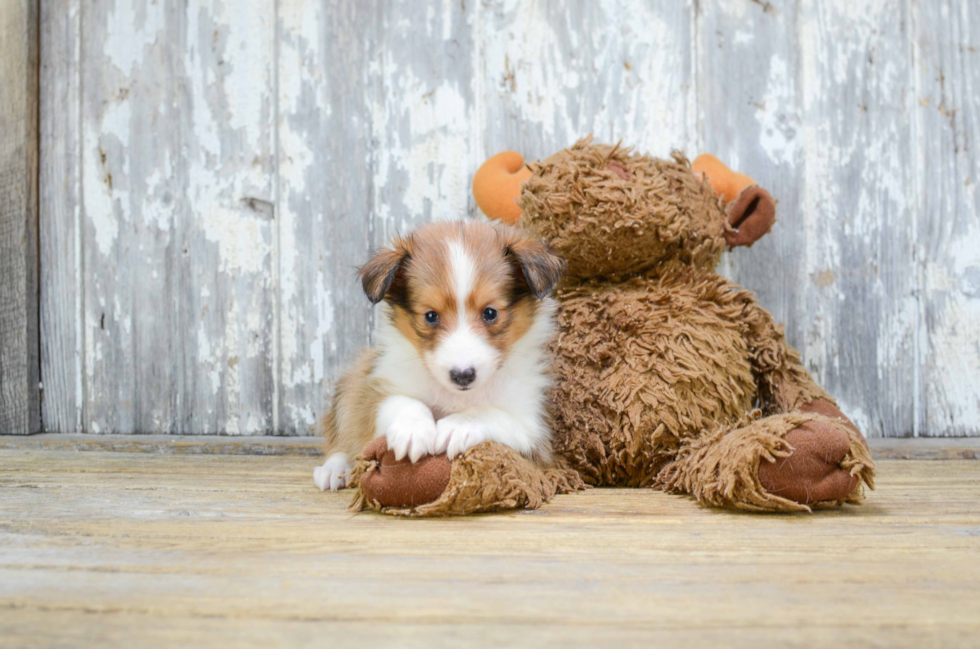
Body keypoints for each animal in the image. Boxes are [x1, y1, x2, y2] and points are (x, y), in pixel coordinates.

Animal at [310, 219, 564, 492]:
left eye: (490, 313)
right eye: (431, 316)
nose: (462, 376)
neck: (457, 396)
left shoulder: (534, 432)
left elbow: (491, 414)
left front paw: (457, 426)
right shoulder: (377, 390)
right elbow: (400, 402)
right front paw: (413, 429)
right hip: (351, 383)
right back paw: (333, 470)